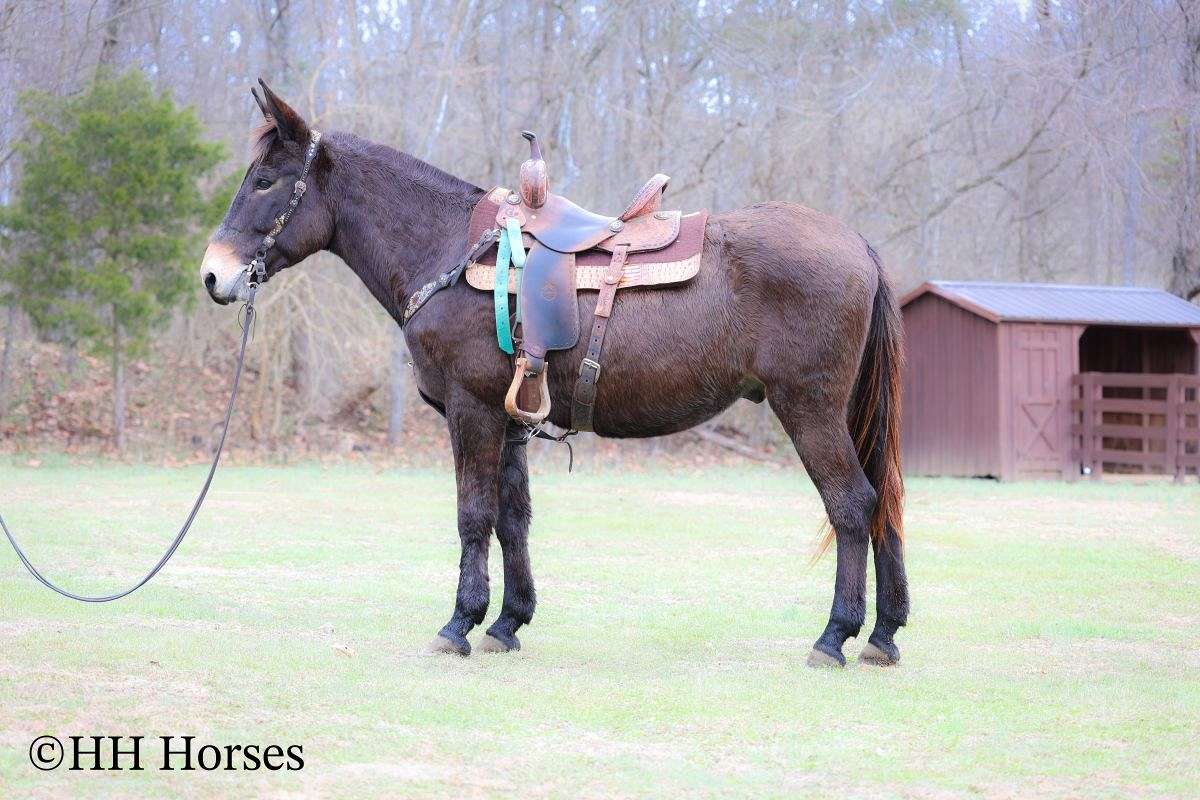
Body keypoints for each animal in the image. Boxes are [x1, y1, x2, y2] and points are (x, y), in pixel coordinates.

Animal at [200, 82, 910, 668]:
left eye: (265, 180)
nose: (213, 274)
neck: (450, 249)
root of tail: (858, 245)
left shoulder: (472, 411)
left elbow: (473, 514)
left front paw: (458, 624)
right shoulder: (511, 418)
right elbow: (512, 517)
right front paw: (506, 623)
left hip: (810, 409)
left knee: (852, 505)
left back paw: (835, 635)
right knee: (882, 506)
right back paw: (882, 634)